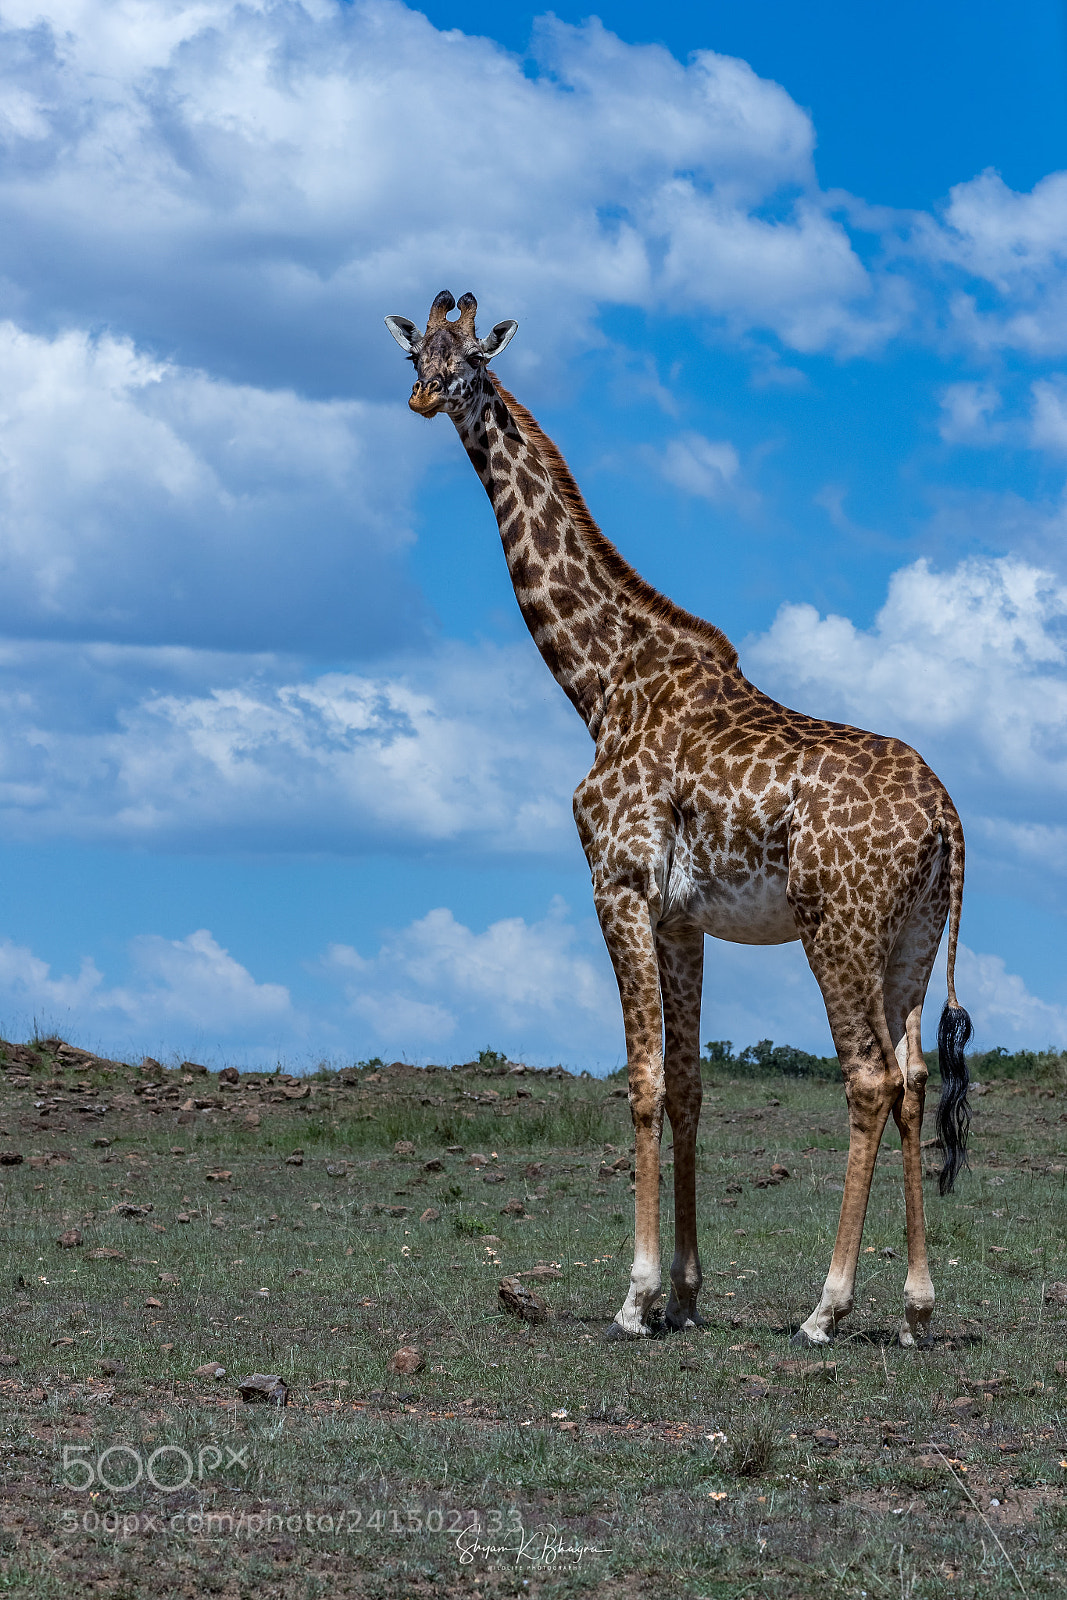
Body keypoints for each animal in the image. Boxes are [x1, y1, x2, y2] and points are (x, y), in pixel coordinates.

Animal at [385, 290, 973, 1348]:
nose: (423, 398)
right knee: (911, 1080)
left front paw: (636, 1295)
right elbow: (691, 1083)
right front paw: (689, 1295)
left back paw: (826, 1307)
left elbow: (643, 1080)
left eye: (473, 361)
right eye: (418, 352)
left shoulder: (614, 884)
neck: (599, 684)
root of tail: (948, 816)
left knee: (868, 1077)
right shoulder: (680, 916)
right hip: (910, 936)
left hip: (837, 924)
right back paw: (913, 1306)